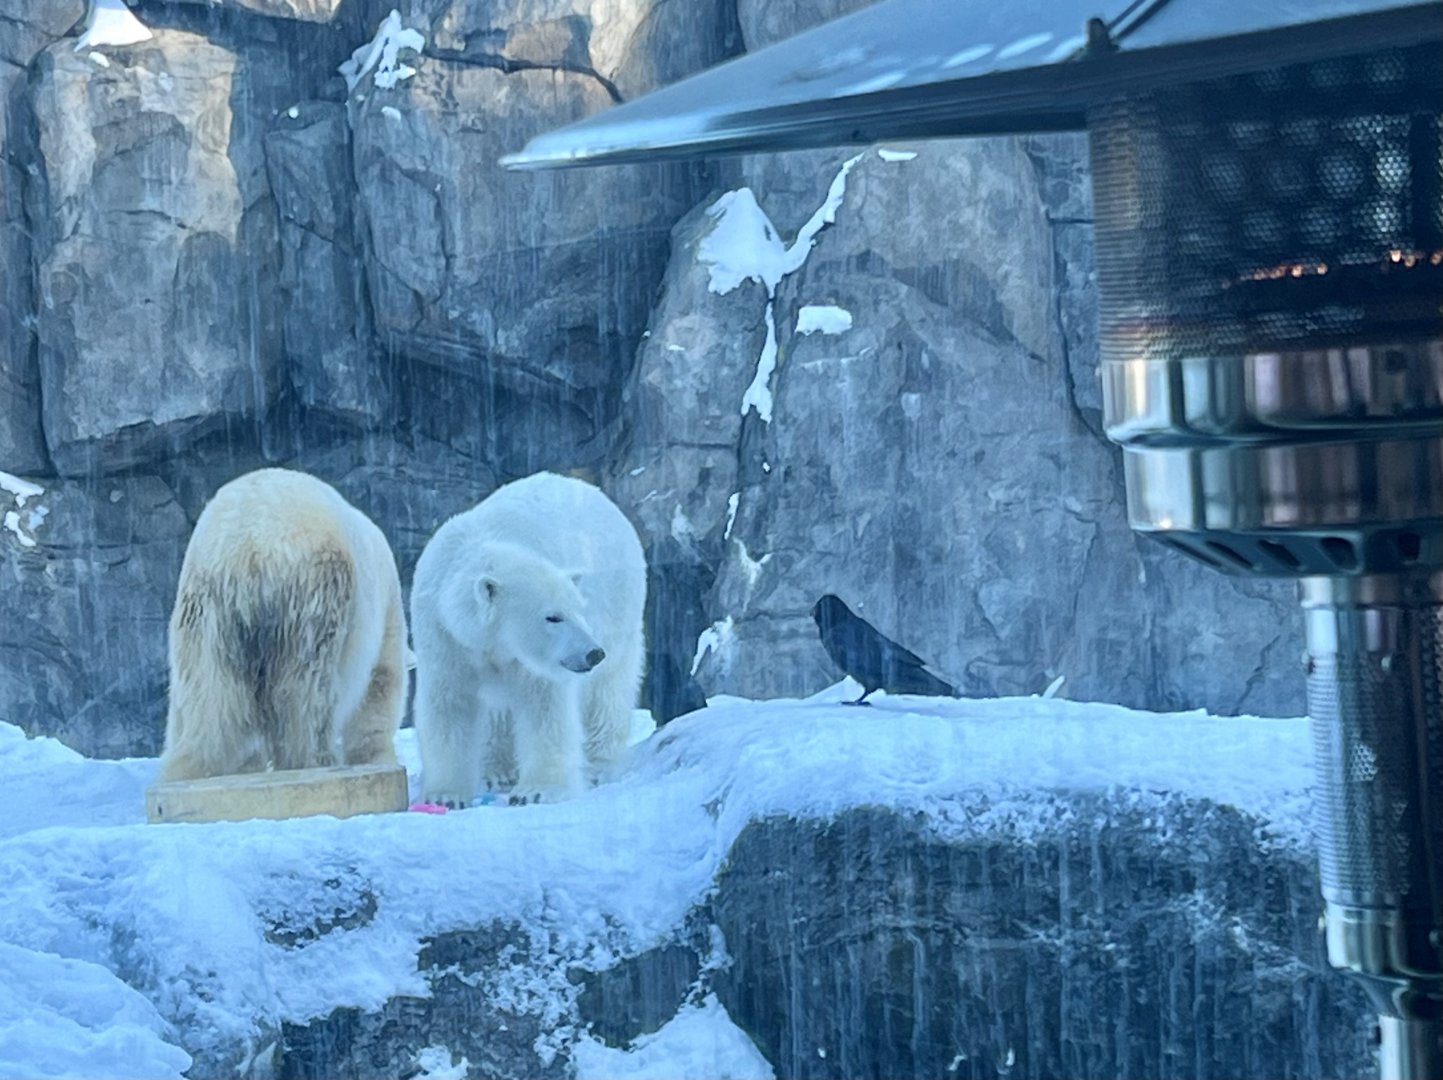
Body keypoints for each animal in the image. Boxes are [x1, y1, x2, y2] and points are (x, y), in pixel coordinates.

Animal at [158, 468, 408, 783]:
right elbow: (380, 686)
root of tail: (251, 546)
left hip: (204, 608)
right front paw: (375, 757)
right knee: (306, 694)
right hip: (312, 597)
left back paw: (191, 769)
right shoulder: (386, 615)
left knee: (208, 699)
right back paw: (313, 760)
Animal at [410, 471, 647, 806]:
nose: (593, 653)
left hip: (620, 606)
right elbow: (448, 704)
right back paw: (496, 771)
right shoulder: (443, 635)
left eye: (579, 610)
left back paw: (600, 765)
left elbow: (545, 706)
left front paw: (538, 791)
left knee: (609, 688)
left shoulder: (538, 661)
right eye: (553, 616)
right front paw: (445, 795)